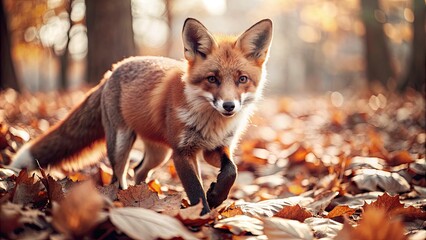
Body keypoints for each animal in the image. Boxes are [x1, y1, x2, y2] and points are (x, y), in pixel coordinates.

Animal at [12, 18, 276, 214]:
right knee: (118, 176)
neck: (211, 122)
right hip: (122, 143)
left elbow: (231, 171)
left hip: (159, 153)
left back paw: (142, 197)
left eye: (242, 79)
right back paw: (121, 199)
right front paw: (203, 216)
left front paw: (216, 195)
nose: (229, 106)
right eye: (212, 79)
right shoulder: (182, 153)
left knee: (138, 171)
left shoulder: (214, 148)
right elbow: (195, 191)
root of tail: (112, 70)